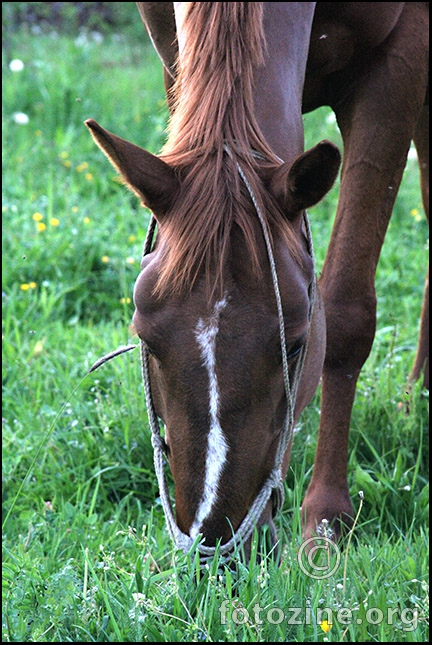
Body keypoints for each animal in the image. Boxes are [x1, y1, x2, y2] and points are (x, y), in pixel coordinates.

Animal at [85, 2, 428, 560]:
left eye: (297, 345)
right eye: (147, 341)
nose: (214, 540)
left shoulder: (397, 63)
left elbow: (347, 315)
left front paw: (326, 519)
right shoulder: (172, 53)